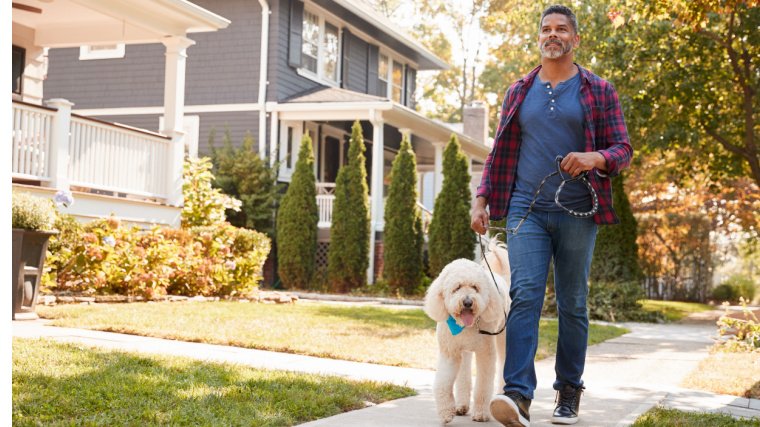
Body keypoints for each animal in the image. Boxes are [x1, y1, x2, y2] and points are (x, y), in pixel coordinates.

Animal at [422, 241, 510, 424]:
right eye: (457, 288)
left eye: (475, 287)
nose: (468, 302)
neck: (464, 326)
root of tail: (502, 278)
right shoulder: (450, 353)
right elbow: (443, 382)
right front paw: (446, 412)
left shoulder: (486, 354)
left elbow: (483, 385)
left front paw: (481, 413)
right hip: (464, 352)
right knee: (463, 375)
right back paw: (461, 405)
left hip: (503, 339)